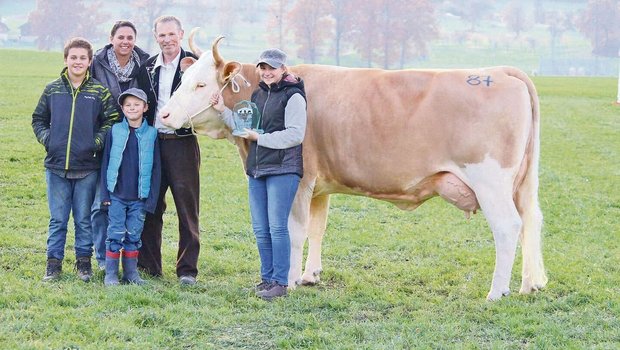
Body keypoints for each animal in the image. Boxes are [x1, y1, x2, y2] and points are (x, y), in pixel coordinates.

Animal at [159, 28, 548, 300]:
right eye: (183, 80)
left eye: (201, 84)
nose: (163, 114)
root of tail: (500, 71)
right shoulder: (320, 186)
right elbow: (318, 228)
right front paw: (310, 275)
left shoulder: (301, 181)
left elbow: (295, 230)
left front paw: (288, 281)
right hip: (519, 185)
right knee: (531, 220)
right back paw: (530, 283)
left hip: (491, 182)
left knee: (508, 227)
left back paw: (496, 291)